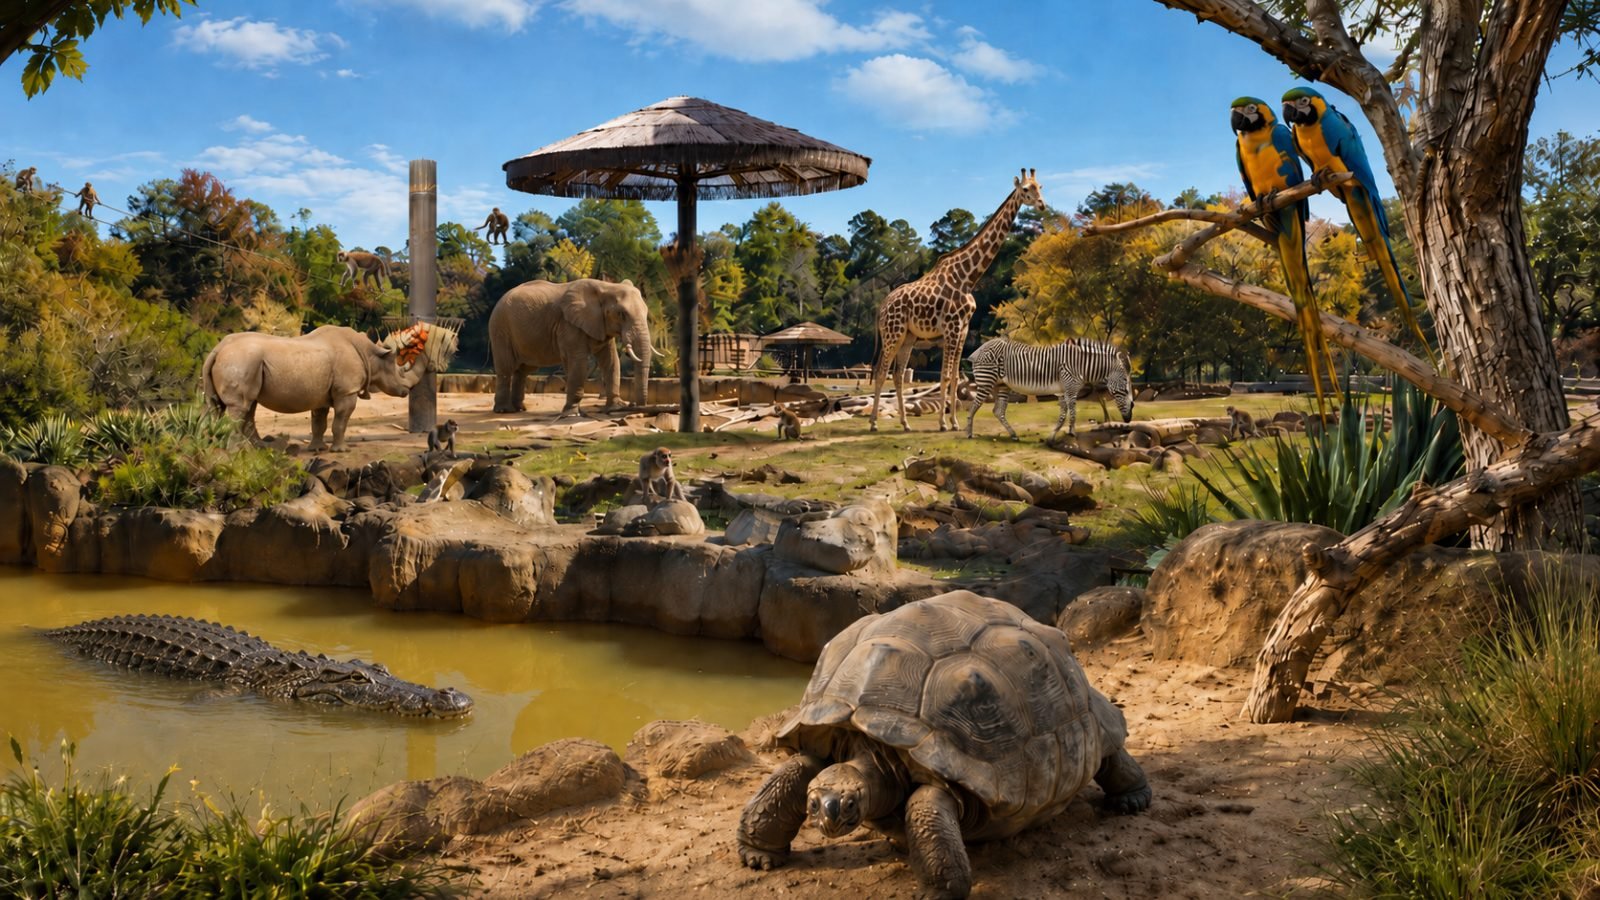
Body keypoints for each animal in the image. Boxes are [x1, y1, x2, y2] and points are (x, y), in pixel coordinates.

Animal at [869, 168, 1045, 432]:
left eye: (1040, 187)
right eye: (1026, 190)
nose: (1042, 204)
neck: (968, 277)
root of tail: (882, 306)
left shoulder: (962, 328)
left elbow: (954, 375)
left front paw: (954, 422)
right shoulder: (951, 327)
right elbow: (944, 375)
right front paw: (943, 423)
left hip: (908, 336)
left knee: (898, 375)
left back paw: (906, 424)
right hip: (893, 333)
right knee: (882, 372)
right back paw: (873, 424)